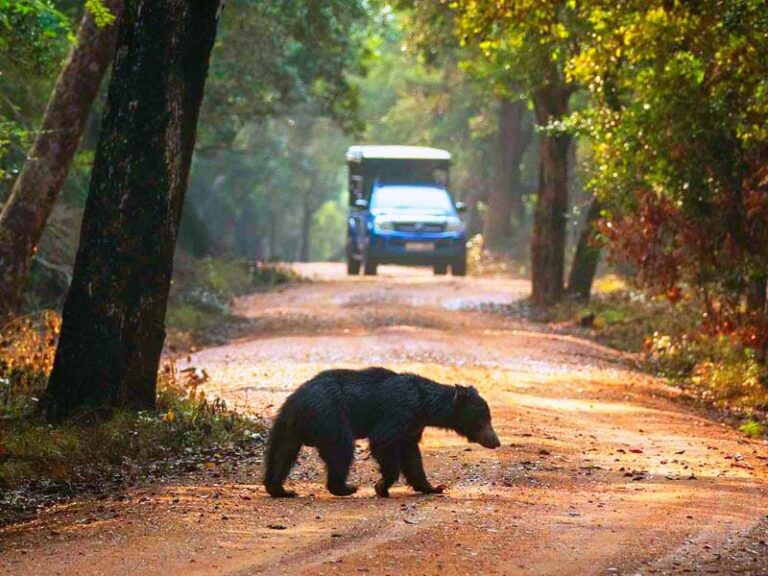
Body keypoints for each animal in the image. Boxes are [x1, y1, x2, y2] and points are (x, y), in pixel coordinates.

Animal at [268, 368, 500, 496]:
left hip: (287, 425)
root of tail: (297, 400)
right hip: (331, 415)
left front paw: (433, 487)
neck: (425, 408)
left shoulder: (413, 426)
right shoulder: (401, 411)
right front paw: (381, 486)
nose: (496, 442)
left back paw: (280, 490)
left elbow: (412, 456)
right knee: (342, 448)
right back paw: (345, 487)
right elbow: (383, 440)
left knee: (281, 452)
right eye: (483, 419)